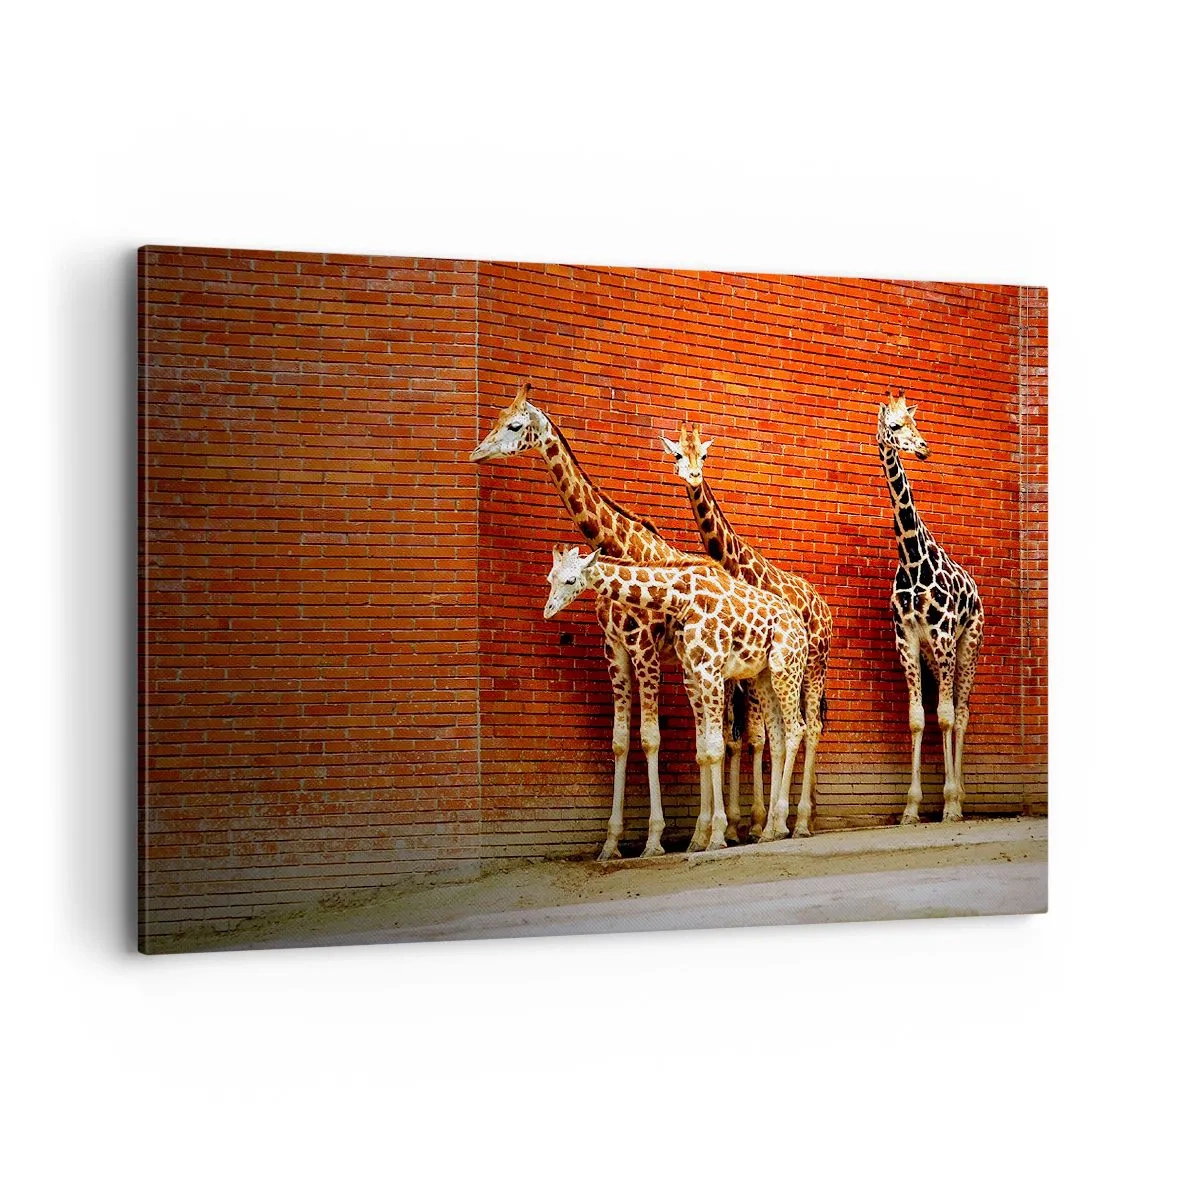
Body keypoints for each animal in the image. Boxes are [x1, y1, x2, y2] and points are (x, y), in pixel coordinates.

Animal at [470, 383, 717, 860]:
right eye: (495, 419)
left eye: (514, 425)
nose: (477, 453)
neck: (620, 546)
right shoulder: (615, 651)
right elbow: (620, 741)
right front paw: (611, 843)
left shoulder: (644, 650)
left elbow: (650, 737)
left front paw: (654, 840)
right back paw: (708, 832)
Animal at [543, 547, 810, 851]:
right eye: (550, 577)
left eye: (571, 579)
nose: (548, 610)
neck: (682, 598)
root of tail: (800, 626)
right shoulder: (692, 674)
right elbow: (703, 750)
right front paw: (700, 836)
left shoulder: (710, 669)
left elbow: (715, 747)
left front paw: (716, 835)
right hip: (763, 675)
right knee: (777, 737)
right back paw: (769, 830)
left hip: (786, 667)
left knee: (797, 729)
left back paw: (784, 823)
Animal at [660, 422, 834, 839]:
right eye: (678, 453)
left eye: (705, 454)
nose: (694, 475)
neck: (742, 568)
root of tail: (825, 609)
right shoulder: (746, 673)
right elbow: (750, 737)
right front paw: (749, 824)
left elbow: (764, 736)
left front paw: (759, 822)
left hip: (815, 667)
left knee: (812, 727)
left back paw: (800, 822)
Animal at [876, 389, 985, 824]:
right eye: (894, 425)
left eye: (915, 422)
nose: (923, 448)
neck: (911, 558)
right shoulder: (906, 638)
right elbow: (919, 718)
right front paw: (911, 807)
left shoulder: (941, 634)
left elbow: (948, 716)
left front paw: (950, 803)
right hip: (934, 654)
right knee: (949, 707)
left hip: (967, 643)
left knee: (963, 711)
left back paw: (961, 798)